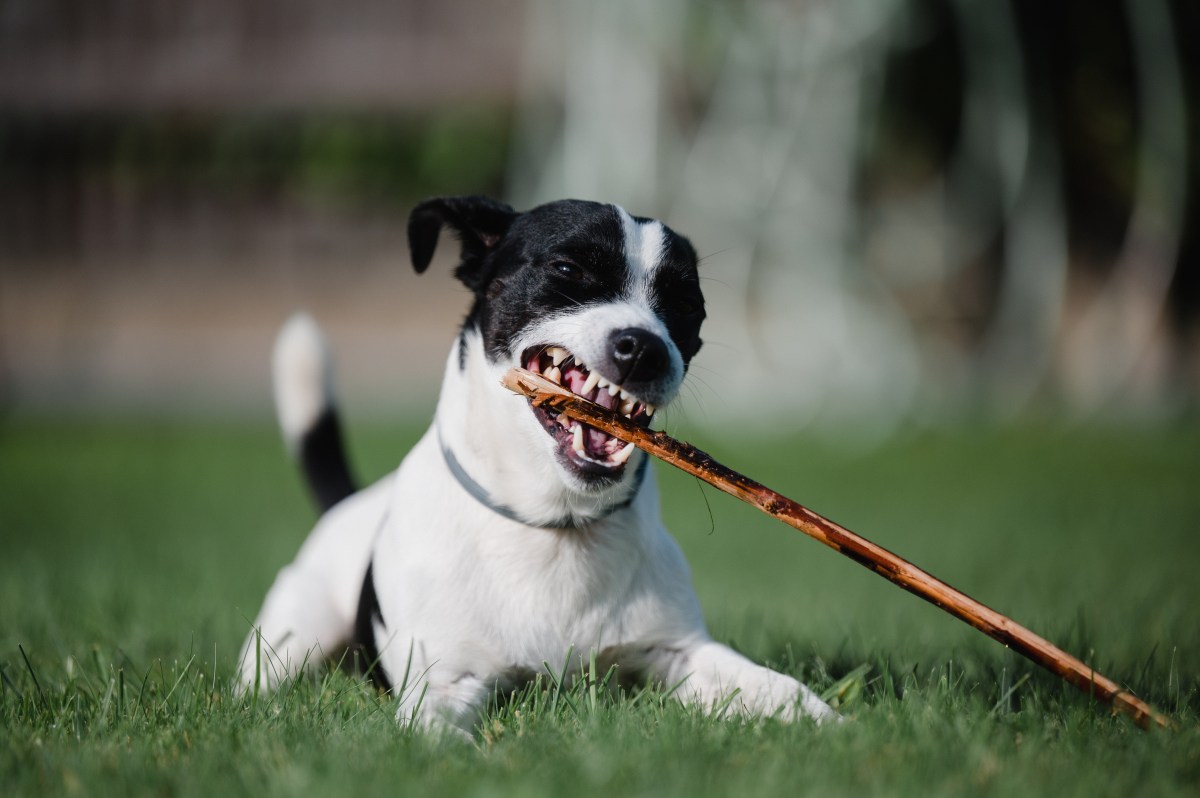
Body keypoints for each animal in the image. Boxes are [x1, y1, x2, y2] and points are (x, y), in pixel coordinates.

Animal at [234, 195, 835, 729]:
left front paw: (835, 730)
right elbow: (433, 731)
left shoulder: (680, 651)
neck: (554, 523)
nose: (645, 349)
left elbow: (779, 690)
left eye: (688, 304)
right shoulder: (444, 680)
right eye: (567, 268)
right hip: (291, 638)